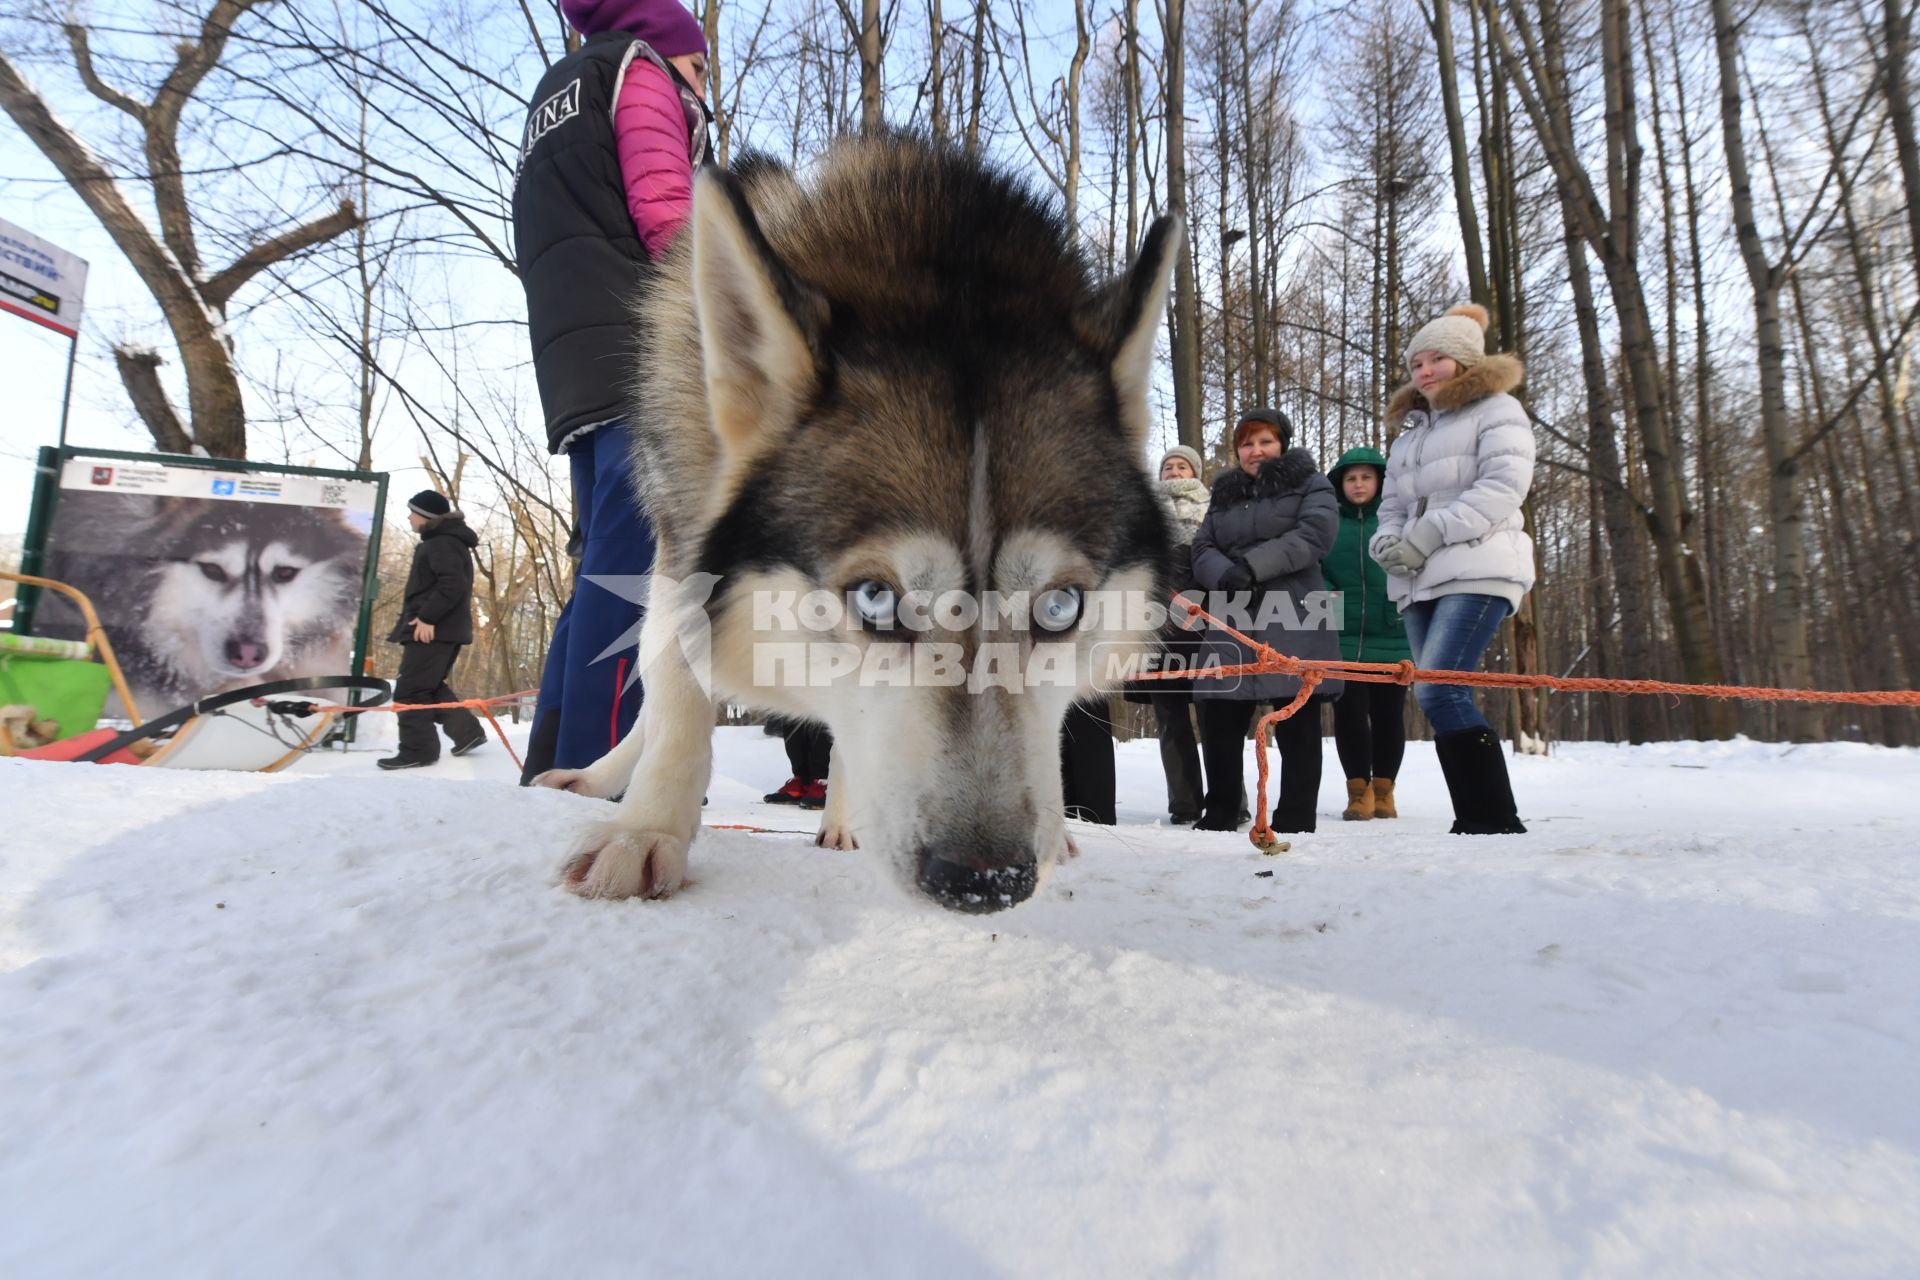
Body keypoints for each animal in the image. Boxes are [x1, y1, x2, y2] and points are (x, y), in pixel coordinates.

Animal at [533, 138, 1175, 909]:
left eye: (1060, 607)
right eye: (875, 599)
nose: (985, 881)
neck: (937, 256)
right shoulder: (682, 541)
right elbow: (678, 702)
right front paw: (645, 831)